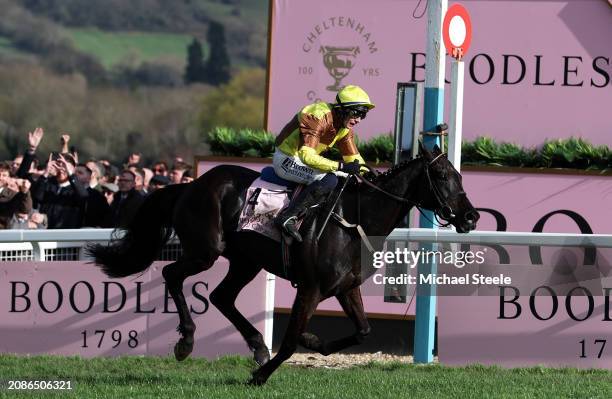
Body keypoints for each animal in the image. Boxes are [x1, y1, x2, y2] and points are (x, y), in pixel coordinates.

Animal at [86, 145, 478, 386]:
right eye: (443, 176)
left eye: (459, 175)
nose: (471, 217)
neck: (353, 219)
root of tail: (190, 184)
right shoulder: (311, 287)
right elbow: (289, 342)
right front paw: (261, 376)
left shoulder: (345, 287)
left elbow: (363, 331)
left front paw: (312, 340)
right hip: (206, 251)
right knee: (172, 274)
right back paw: (187, 341)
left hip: (245, 261)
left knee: (221, 297)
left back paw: (258, 346)